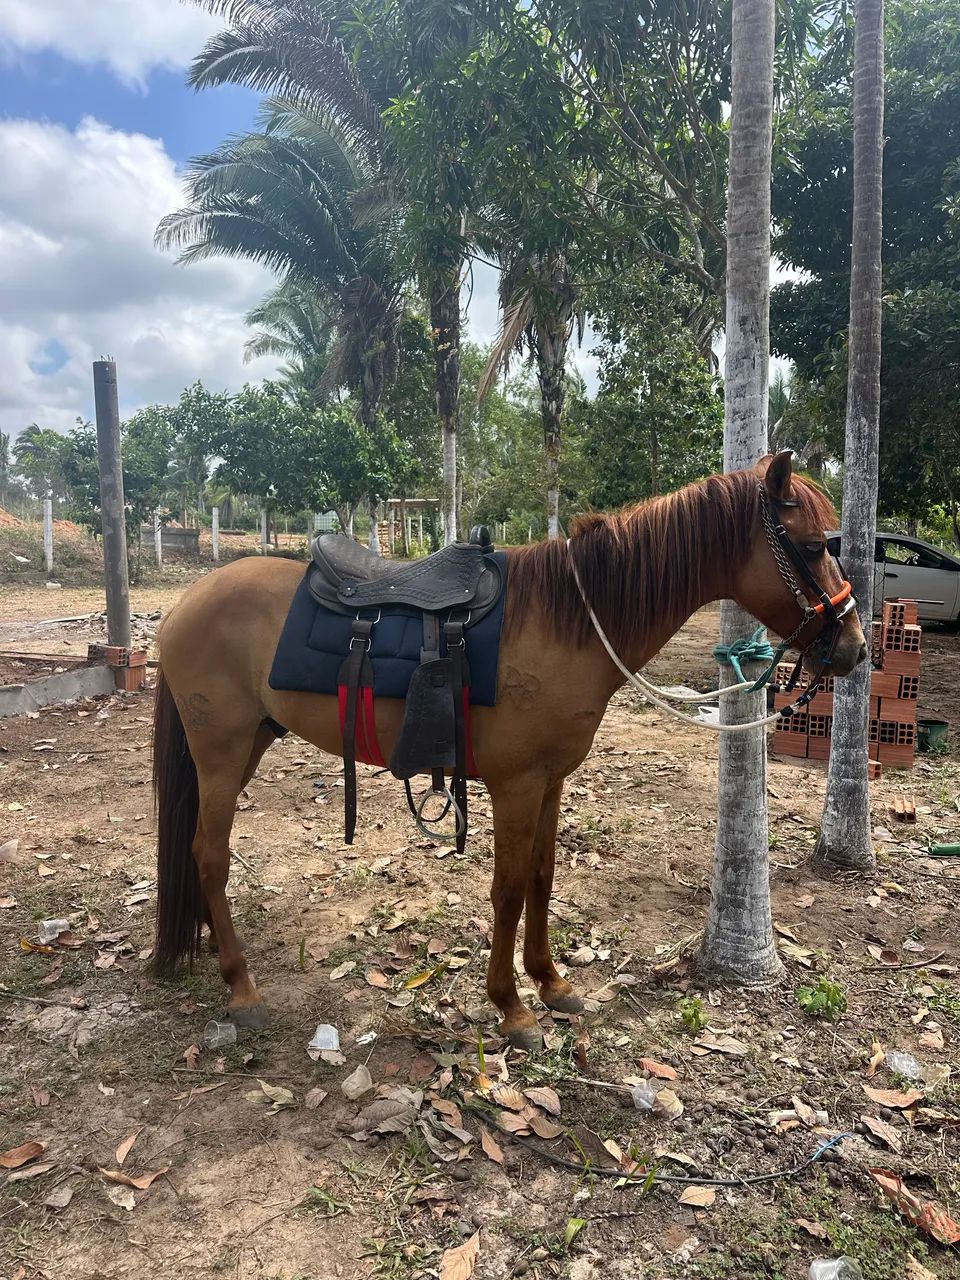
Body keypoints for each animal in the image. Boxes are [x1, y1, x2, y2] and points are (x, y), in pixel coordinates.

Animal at [151, 452, 866, 1049]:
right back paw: (241, 986)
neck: (572, 621)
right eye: (810, 548)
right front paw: (511, 1006)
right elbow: (509, 886)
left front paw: (550, 981)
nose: (855, 648)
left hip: (249, 746)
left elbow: (542, 878)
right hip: (221, 755)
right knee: (208, 855)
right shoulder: (515, 785)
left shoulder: (550, 781)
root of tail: (186, 604)